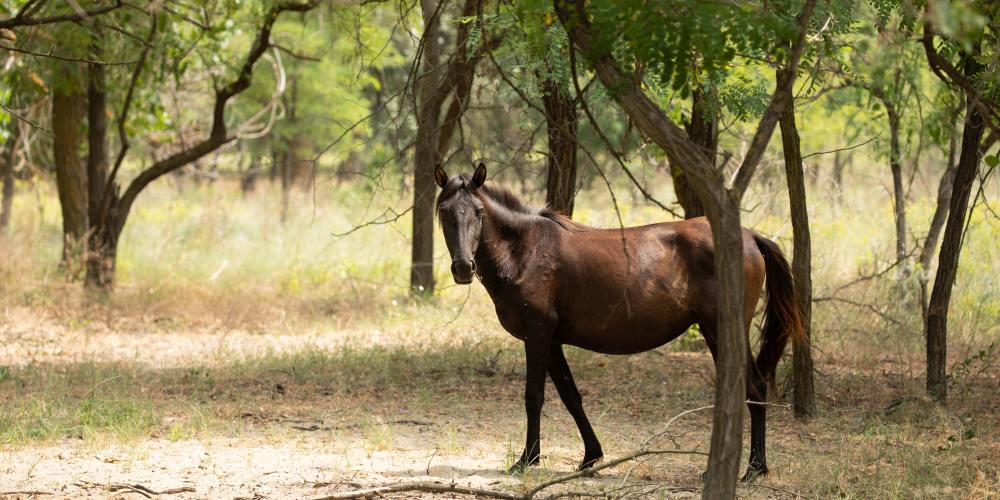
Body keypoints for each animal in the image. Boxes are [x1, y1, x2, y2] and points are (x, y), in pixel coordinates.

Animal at [434, 161, 800, 480]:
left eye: (479, 212)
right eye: (444, 212)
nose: (463, 268)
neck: (524, 250)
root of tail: (750, 237)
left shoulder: (537, 335)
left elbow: (533, 395)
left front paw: (527, 460)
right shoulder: (552, 340)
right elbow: (570, 395)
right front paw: (590, 457)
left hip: (720, 328)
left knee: (754, 387)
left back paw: (753, 469)